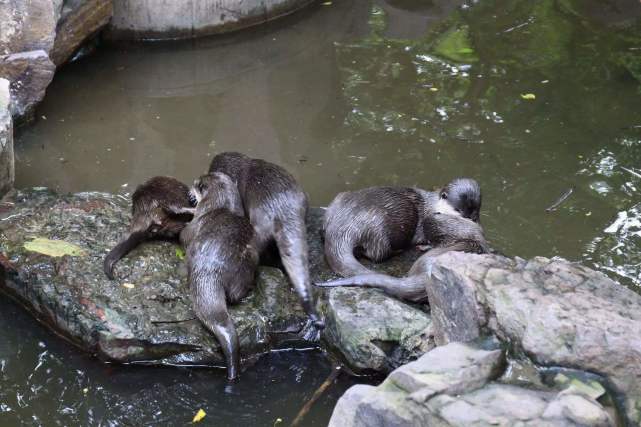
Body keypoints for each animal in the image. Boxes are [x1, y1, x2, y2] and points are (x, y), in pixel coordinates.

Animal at [179, 173, 258, 382]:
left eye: (196, 184)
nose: (189, 189)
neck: (222, 207)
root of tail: (210, 270)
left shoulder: (195, 222)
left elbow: (183, 234)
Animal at [320, 177, 480, 278]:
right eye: (458, 210)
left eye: (476, 209)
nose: (472, 219)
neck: (433, 206)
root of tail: (345, 225)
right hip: (378, 228)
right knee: (378, 254)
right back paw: (397, 250)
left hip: (338, 200)